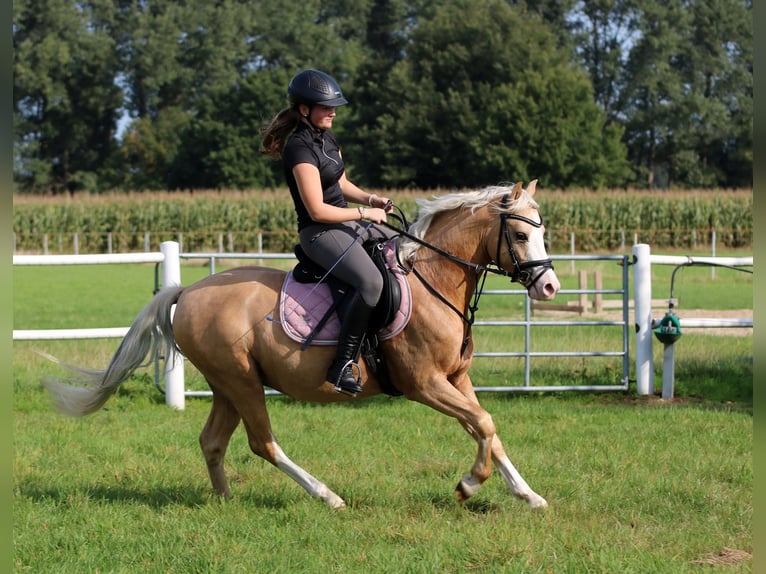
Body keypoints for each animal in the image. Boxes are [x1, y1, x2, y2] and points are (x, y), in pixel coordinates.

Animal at [42, 180, 560, 510]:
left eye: (542, 231)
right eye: (519, 234)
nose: (550, 286)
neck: (433, 278)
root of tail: (186, 291)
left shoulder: (456, 378)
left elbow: (488, 430)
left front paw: (529, 495)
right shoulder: (424, 383)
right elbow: (484, 423)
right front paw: (468, 486)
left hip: (228, 384)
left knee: (213, 441)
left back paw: (226, 502)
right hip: (242, 382)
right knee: (263, 443)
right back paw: (327, 496)